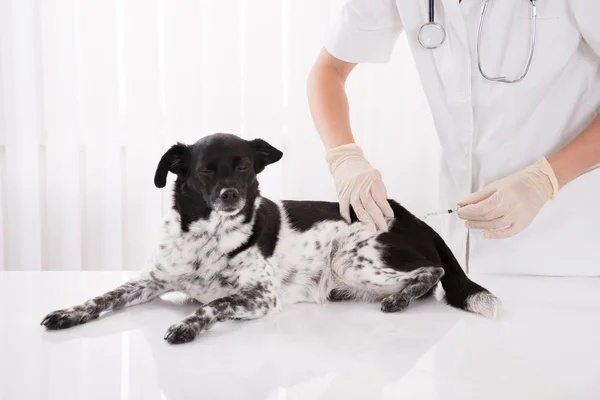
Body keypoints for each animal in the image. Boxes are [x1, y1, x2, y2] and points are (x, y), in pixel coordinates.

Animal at [42, 134, 500, 344]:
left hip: (351, 256)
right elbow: (102, 296)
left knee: (432, 271)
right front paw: (68, 313)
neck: (208, 240)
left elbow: (213, 305)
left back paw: (399, 298)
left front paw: (187, 324)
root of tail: (411, 216)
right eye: (204, 170)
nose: (231, 195)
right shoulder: (150, 280)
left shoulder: (261, 295)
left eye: (245, 167)